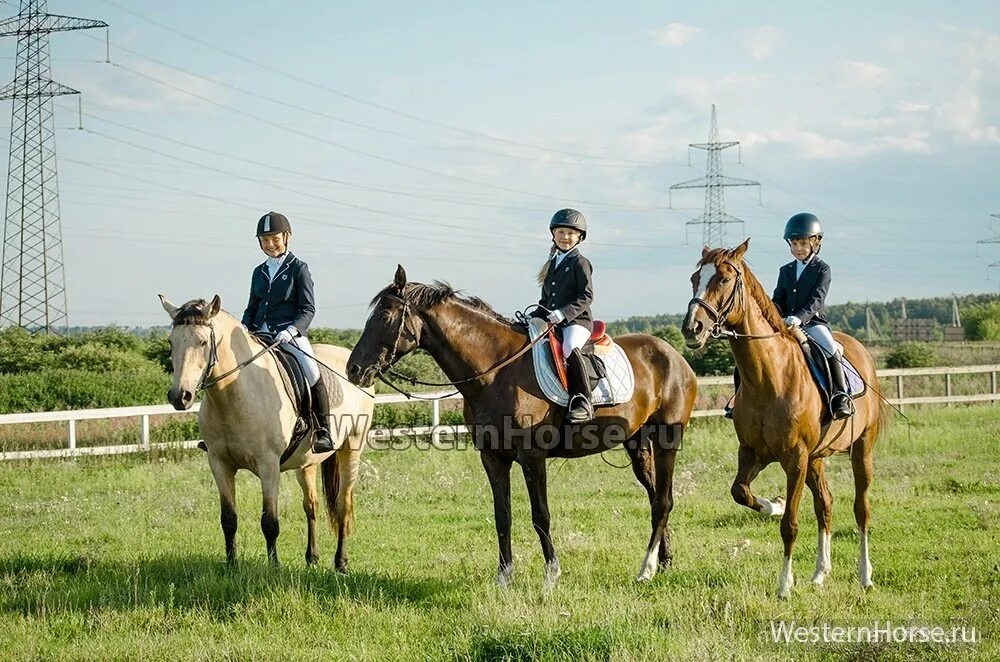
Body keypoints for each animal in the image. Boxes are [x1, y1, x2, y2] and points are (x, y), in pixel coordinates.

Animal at [158, 296, 376, 572]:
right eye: (171, 342)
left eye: (203, 342)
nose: (180, 396)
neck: (234, 395)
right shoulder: (219, 464)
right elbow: (228, 519)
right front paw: (232, 565)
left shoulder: (268, 466)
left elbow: (270, 522)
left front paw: (273, 567)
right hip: (307, 463)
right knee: (311, 506)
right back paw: (312, 558)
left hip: (352, 448)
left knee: (343, 505)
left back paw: (341, 563)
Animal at [344, 268, 696, 588]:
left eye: (385, 316)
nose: (354, 370)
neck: (496, 371)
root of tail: (674, 355)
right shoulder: (492, 458)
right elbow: (503, 516)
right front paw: (504, 577)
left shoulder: (531, 457)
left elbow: (540, 515)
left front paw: (552, 575)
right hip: (636, 442)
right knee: (655, 495)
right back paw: (663, 560)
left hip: (667, 439)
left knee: (663, 500)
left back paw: (646, 569)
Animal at [680, 241, 892, 600]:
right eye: (695, 278)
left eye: (723, 279)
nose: (691, 328)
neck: (769, 376)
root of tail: (861, 350)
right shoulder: (753, 452)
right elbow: (740, 492)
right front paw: (774, 504)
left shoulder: (794, 458)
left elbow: (790, 526)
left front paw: (784, 586)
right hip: (816, 458)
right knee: (825, 504)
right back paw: (820, 574)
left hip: (861, 450)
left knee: (861, 510)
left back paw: (865, 576)